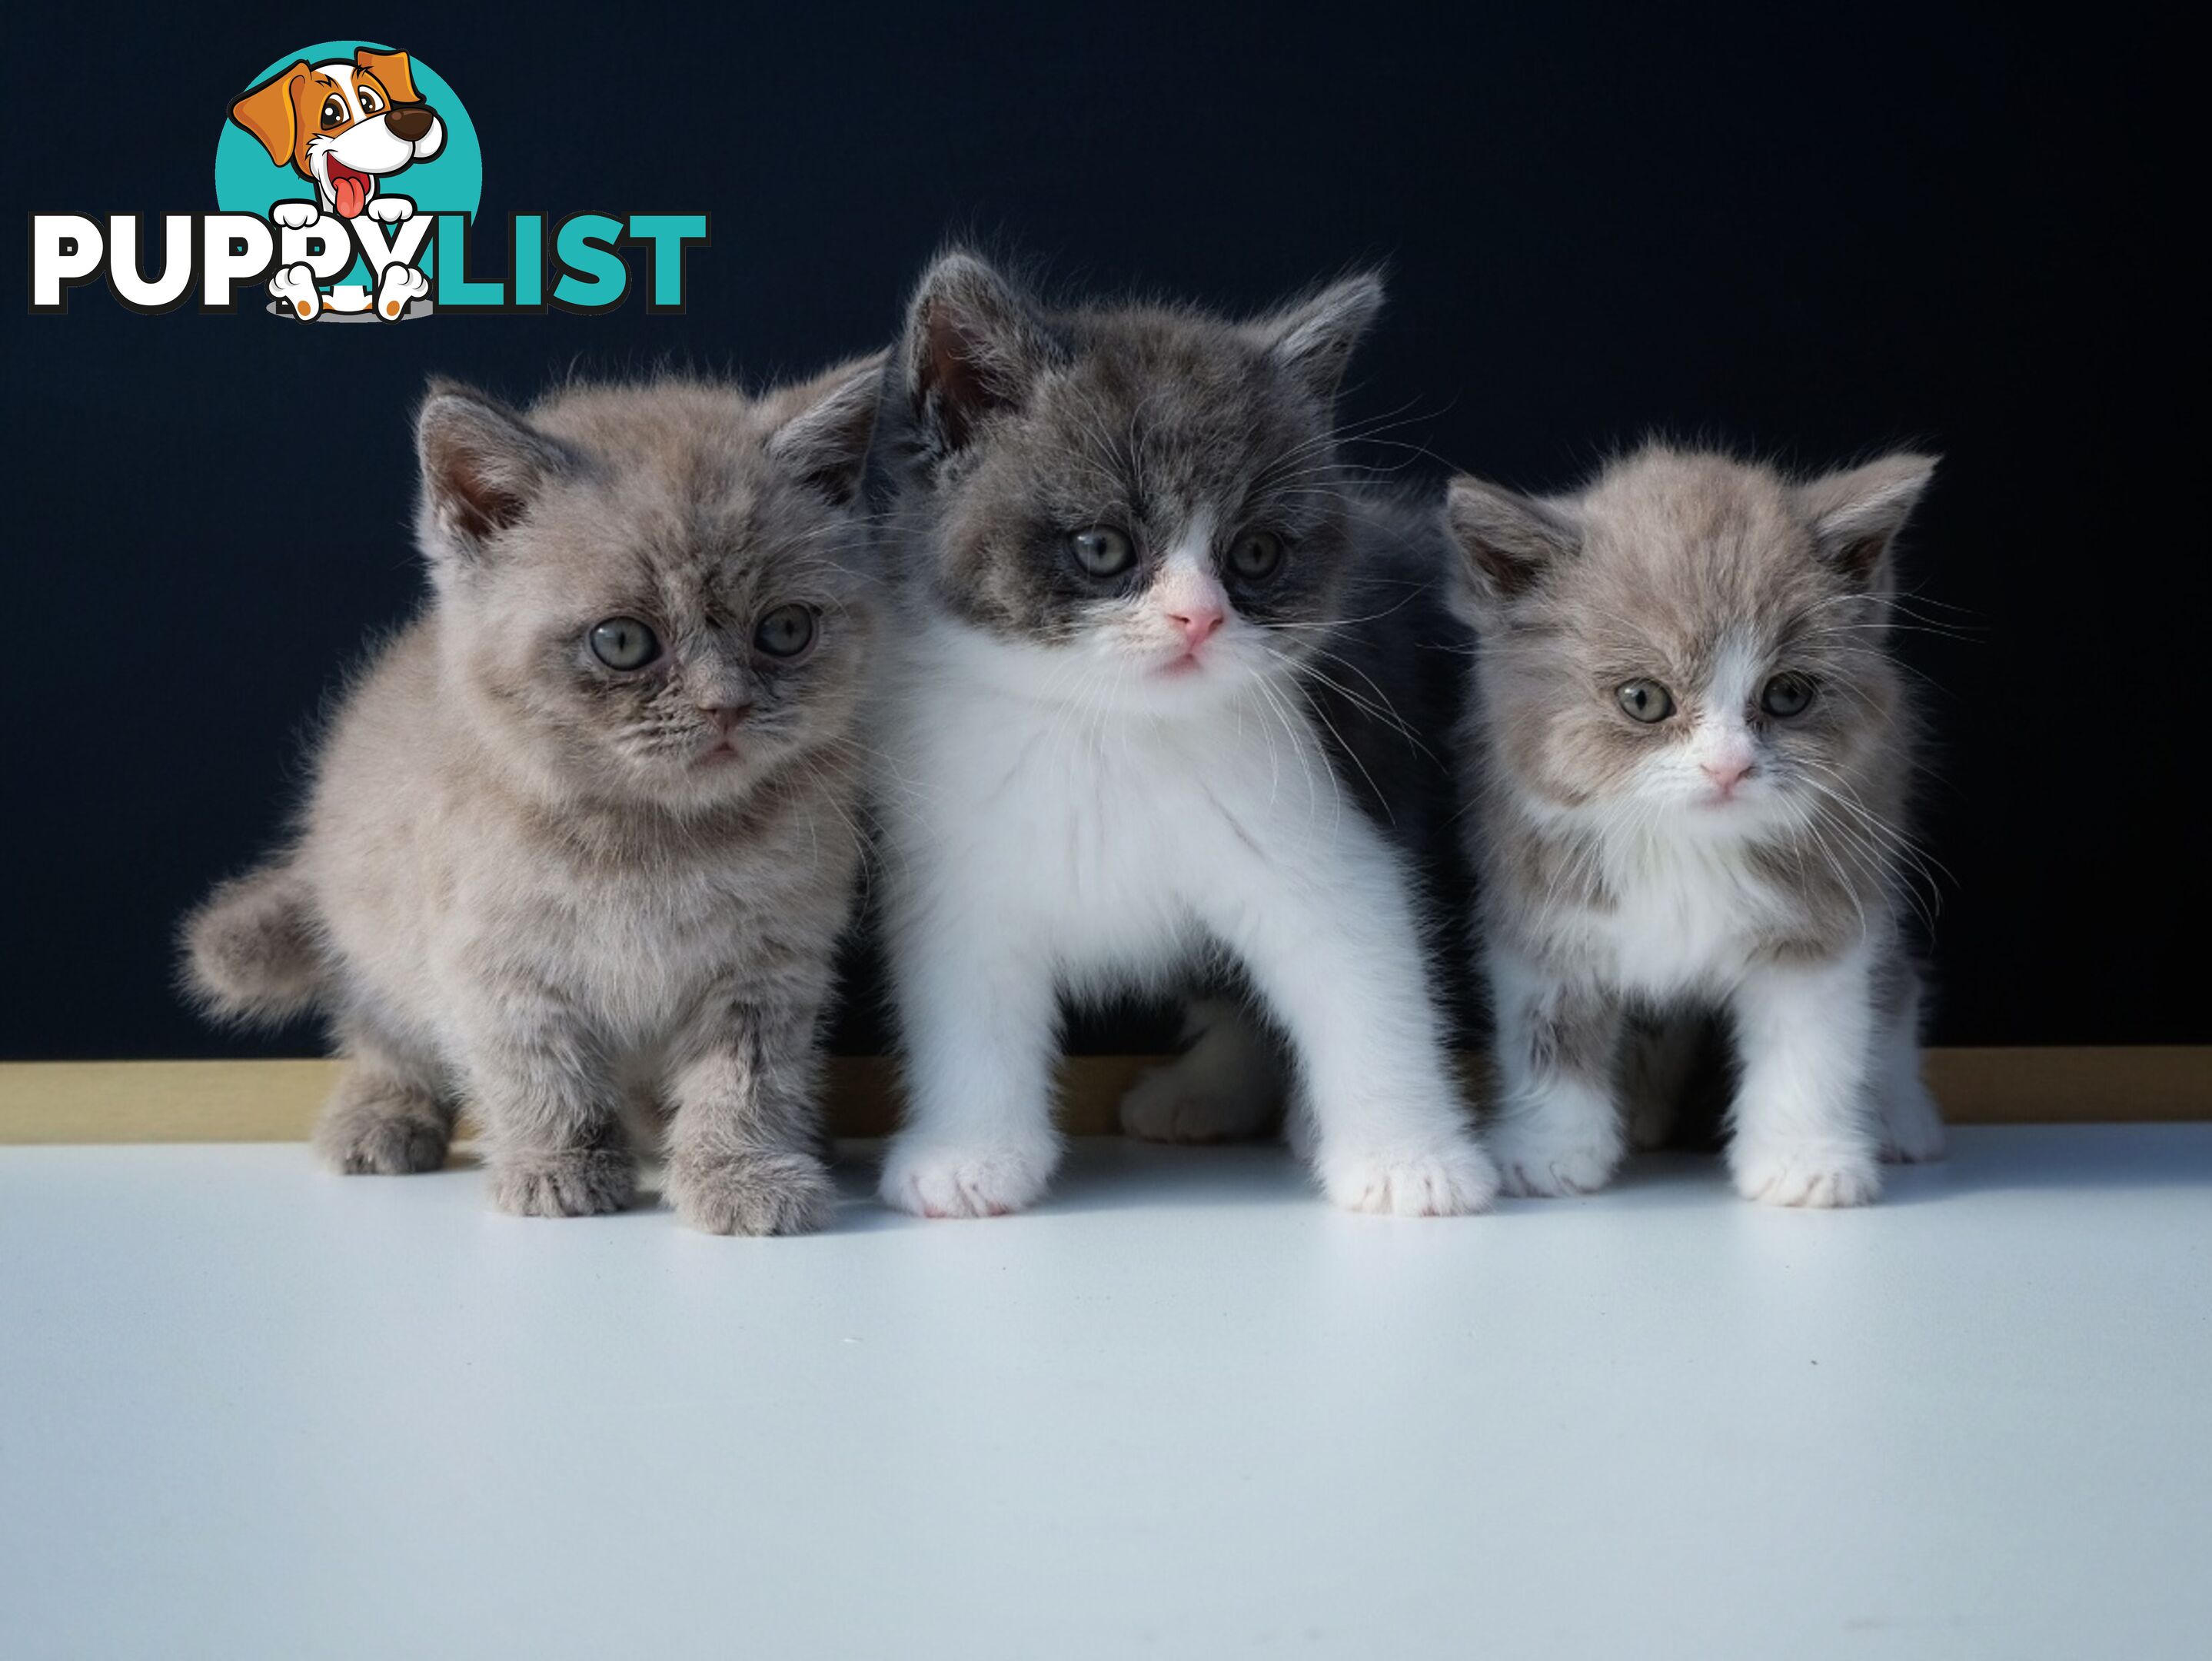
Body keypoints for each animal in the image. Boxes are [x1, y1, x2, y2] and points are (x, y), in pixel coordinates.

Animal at [181, 367, 884, 1238]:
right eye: (622, 642)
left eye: (785, 629)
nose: (726, 707)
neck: (653, 841)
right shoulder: (494, 960)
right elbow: (539, 1072)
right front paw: (561, 1170)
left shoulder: (768, 966)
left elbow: (745, 1080)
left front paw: (741, 1172)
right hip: (373, 923)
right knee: (381, 1029)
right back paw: (380, 1119)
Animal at [853, 256, 1495, 1220]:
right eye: (1104, 547)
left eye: (1257, 554)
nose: (1199, 619)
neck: (1111, 731)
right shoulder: (959, 864)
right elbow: (967, 1008)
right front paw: (970, 1156)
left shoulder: (1319, 822)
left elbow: (1365, 977)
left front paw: (1408, 1159)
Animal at [1451, 442, 1955, 1212]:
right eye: (1642, 699)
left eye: (1787, 694)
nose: (1728, 766)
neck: (1686, 850)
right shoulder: (1544, 904)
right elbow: (1550, 1031)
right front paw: (1549, 1153)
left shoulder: (1825, 907)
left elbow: (1811, 1042)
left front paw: (1804, 1163)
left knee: (1894, 987)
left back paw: (1901, 1118)